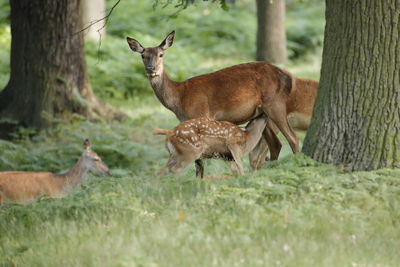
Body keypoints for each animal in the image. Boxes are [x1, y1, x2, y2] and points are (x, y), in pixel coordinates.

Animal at [126, 30, 318, 178]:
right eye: (143, 55)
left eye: (161, 54)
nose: (151, 69)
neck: (179, 98)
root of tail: (289, 77)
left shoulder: (201, 114)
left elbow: (199, 162)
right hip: (263, 113)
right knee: (275, 145)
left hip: (275, 104)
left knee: (293, 138)